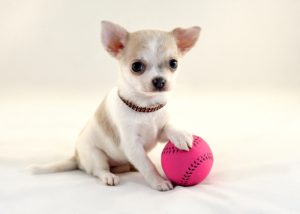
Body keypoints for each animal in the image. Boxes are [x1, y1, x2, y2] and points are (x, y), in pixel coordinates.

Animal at [30, 20, 200, 191]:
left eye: (174, 63)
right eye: (136, 66)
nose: (159, 81)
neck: (146, 108)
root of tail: (77, 157)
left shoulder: (157, 134)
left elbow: (169, 126)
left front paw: (181, 135)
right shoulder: (133, 146)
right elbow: (147, 165)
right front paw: (159, 181)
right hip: (95, 155)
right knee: (98, 170)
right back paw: (108, 176)